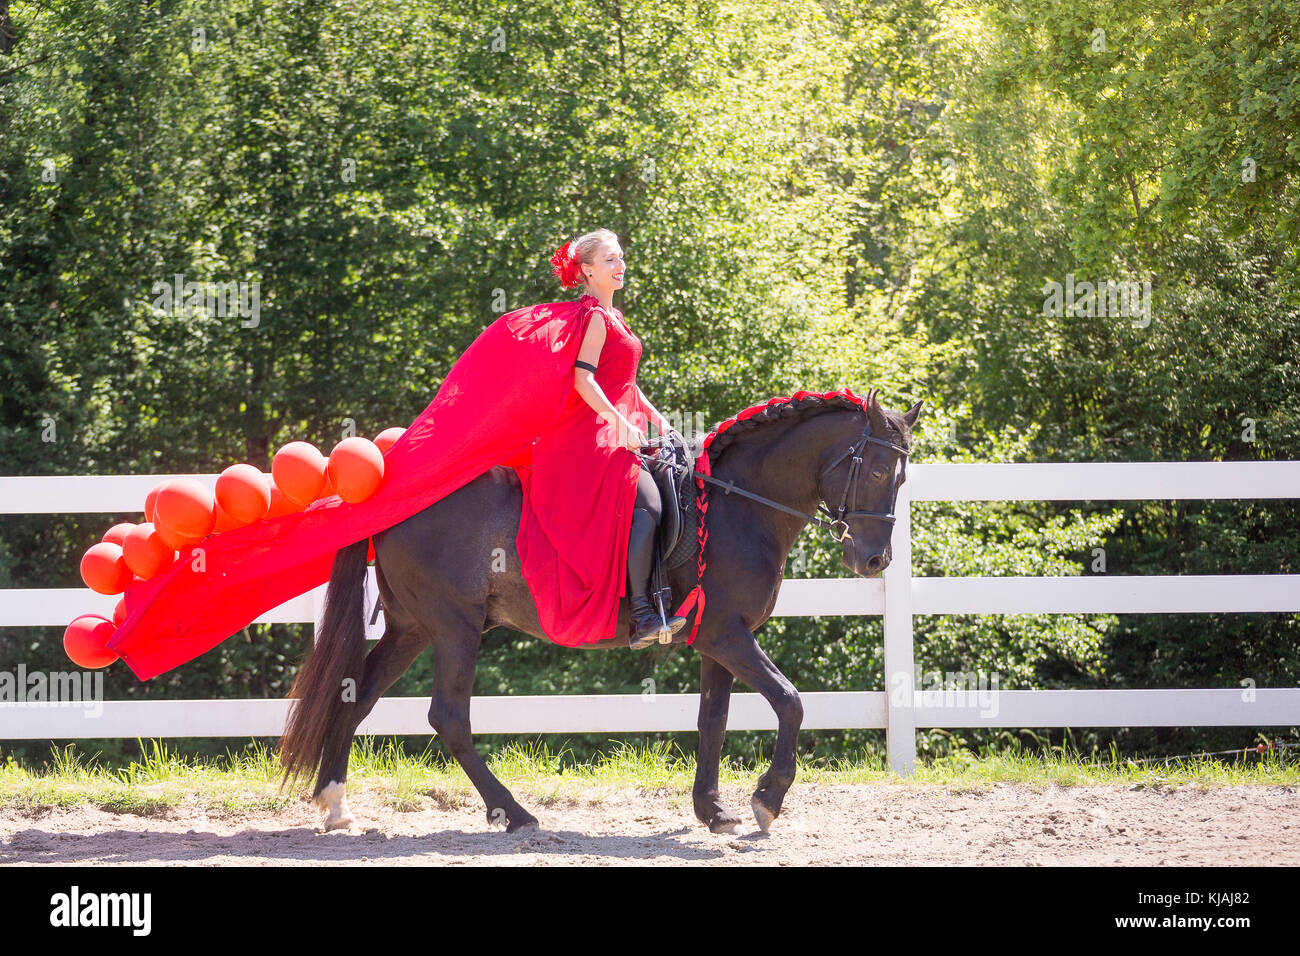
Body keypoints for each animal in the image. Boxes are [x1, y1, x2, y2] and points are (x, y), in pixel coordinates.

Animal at [278, 388, 922, 834]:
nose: (874, 559)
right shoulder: (728, 635)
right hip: (454, 627)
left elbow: (712, 721)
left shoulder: (716, 640)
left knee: (356, 697)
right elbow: (790, 701)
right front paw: (767, 799)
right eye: (876, 469)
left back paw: (335, 805)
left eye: (903, 477)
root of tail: (394, 493)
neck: (739, 504)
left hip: (412, 628)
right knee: (449, 718)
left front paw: (713, 810)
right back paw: (514, 813)